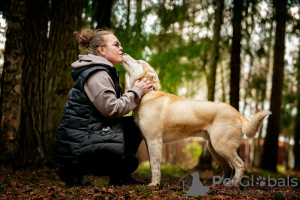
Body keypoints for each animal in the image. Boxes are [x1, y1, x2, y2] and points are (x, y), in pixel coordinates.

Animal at [122, 52, 272, 186]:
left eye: (138, 62)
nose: (123, 53)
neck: (146, 94)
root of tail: (237, 113)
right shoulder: (148, 142)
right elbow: (151, 165)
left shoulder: (154, 141)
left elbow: (154, 166)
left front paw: (155, 184)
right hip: (214, 148)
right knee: (229, 168)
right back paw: (221, 185)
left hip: (222, 146)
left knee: (239, 165)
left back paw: (233, 184)